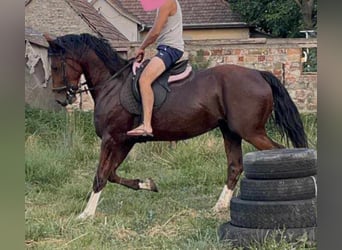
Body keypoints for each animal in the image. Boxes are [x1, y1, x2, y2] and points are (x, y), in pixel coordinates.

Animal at [43, 33, 308, 219]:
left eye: (55, 67)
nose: (60, 98)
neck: (113, 84)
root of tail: (259, 74)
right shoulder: (125, 140)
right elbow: (112, 174)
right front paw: (147, 184)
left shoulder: (112, 138)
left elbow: (100, 175)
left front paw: (86, 214)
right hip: (231, 132)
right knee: (234, 167)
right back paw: (218, 206)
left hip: (251, 131)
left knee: (277, 153)